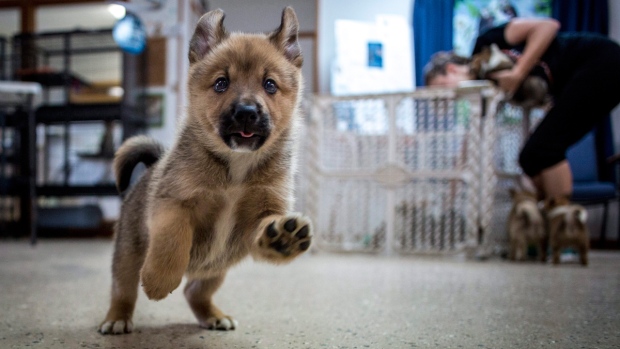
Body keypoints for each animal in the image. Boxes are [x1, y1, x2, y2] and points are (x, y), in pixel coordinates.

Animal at [100, 6, 312, 334]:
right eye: (221, 83)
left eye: (270, 85)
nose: (247, 113)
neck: (235, 166)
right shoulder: (174, 203)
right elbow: (172, 240)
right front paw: (159, 279)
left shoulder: (258, 217)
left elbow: (268, 225)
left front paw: (282, 238)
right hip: (128, 254)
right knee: (122, 290)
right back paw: (117, 318)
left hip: (217, 269)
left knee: (194, 290)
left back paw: (213, 314)